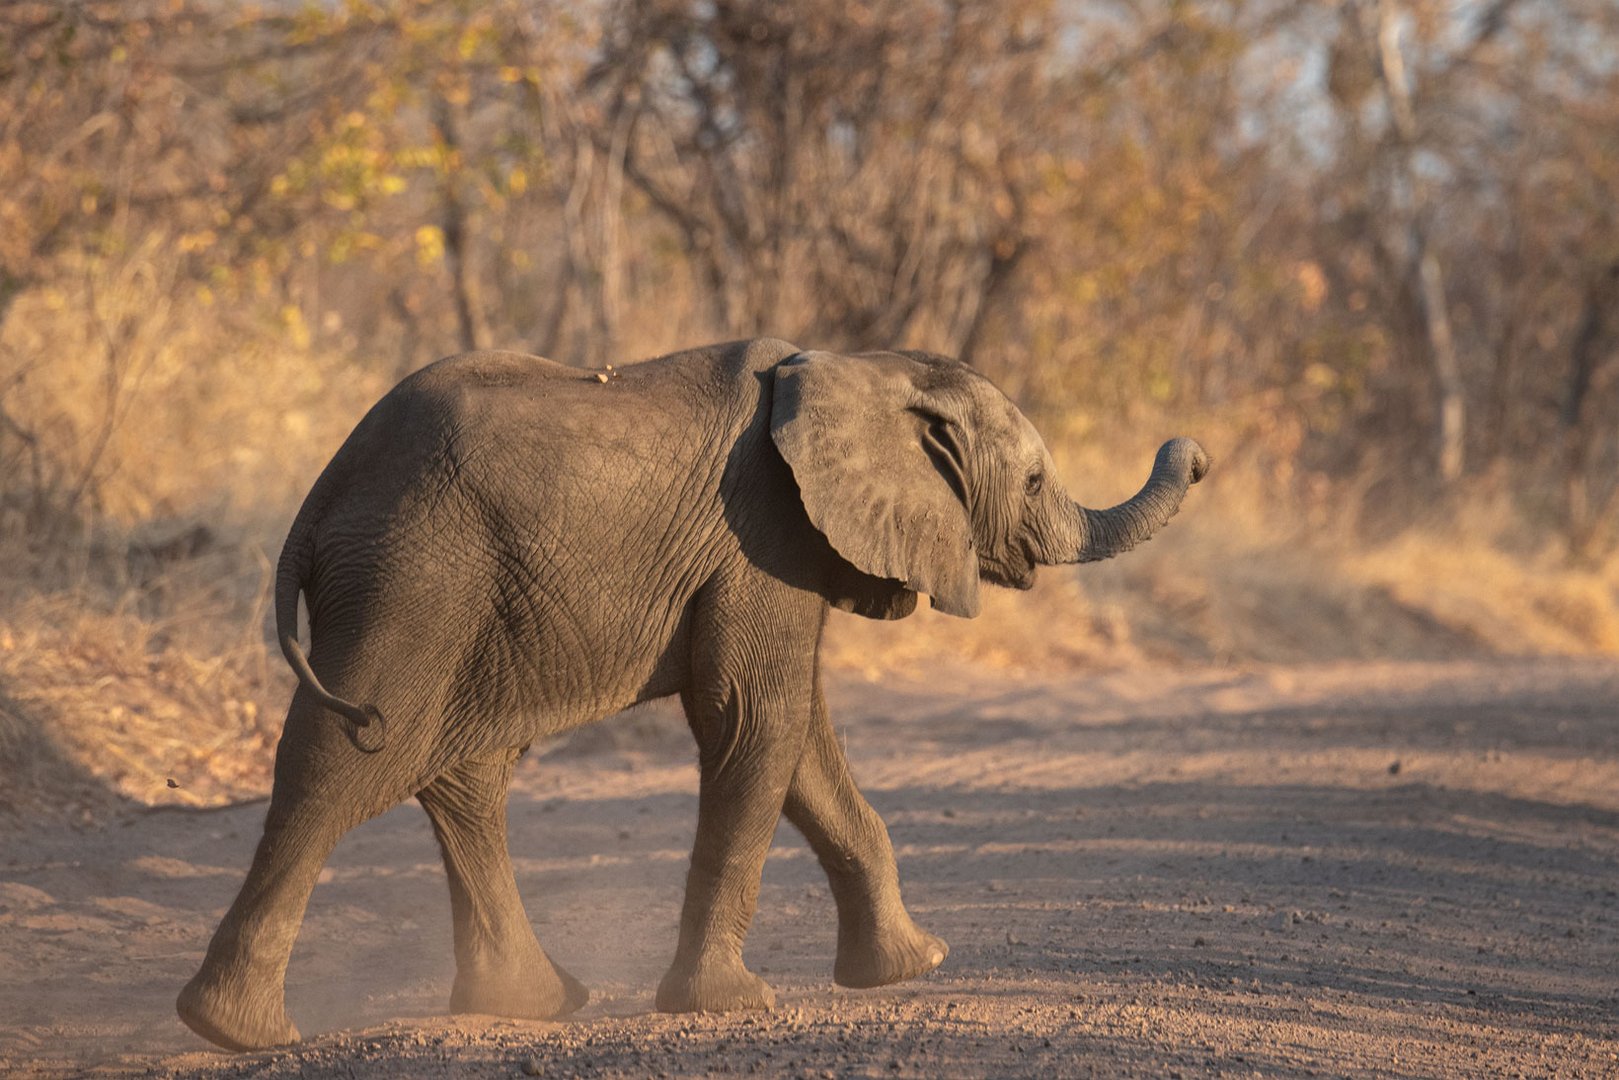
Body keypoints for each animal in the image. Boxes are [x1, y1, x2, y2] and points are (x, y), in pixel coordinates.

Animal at [180, 335, 1204, 1049]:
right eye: (1031, 479)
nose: (1193, 454)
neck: (854, 367)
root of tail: (319, 498)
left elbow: (800, 739)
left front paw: (911, 969)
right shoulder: (764, 530)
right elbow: (757, 719)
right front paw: (726, 1005)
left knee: (461, 773)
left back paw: (530, 1005)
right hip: (414, 573)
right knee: (353, 754)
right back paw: (239, 1033)